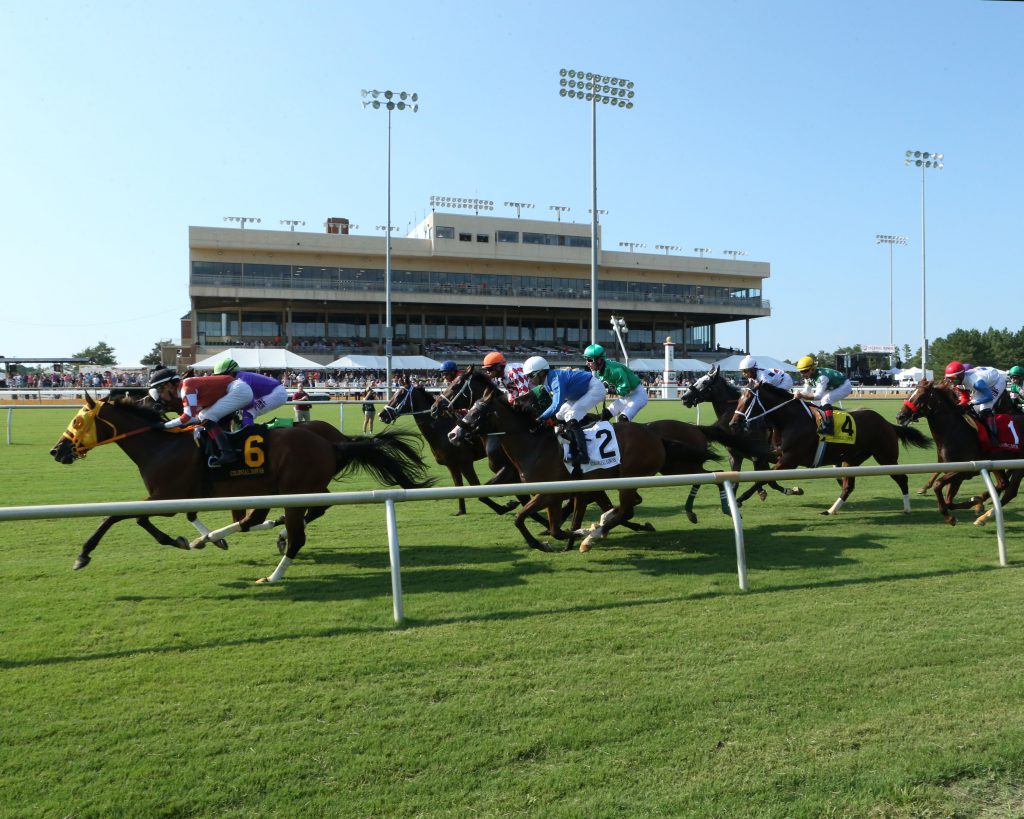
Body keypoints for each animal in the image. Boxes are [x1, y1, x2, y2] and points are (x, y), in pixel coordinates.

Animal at [49, 391, 432, 577]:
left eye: (78, 420)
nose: (57, 450)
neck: (160, 444)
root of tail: (333, 443)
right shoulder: (175, 497)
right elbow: (146, 518)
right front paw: (190, 539)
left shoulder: (167, 496)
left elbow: (116, 516)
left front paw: (83, 554)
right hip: (284, 486)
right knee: (291, 512)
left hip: (292, 486)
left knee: (299, 515)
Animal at [376, 376, 520, 515]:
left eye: (400, 394)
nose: (382, 414)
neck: (442, 429)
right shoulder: (452, 465)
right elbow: (458, 487)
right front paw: (461, 511)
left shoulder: (465, 464)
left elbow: (479, 491)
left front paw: (505, 507)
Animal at [684, 366, 802, 505]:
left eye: (705, 382)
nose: (684, 397)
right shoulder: (735, 456)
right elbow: (737, 483)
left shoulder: (759, 457)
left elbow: (768, 480)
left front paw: (791, 490)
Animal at [724, 382, 933, 511]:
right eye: (738, 399)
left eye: (747, 401)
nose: (733, 424)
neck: (790, 420)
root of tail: (887, 423)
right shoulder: (778, 455)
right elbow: (764, 475)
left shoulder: (790, 460)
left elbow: (762, 479)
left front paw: (740, 499)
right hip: (852, 459)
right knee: (848, 486)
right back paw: (831, 510)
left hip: (886, 456)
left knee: (902, 478)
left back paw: (907, 508)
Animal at [892, 376, 1024, 524]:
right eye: (911, 393)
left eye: (920, 396)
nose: (900, 416)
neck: (953, 430)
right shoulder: (952, 469)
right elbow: (949, 501)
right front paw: (975, 502)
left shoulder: (963, 471)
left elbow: (938, 484)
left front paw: (950, 516)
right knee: (1003, 484)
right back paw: (982, 511)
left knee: (1010, 491)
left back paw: (983, 516)